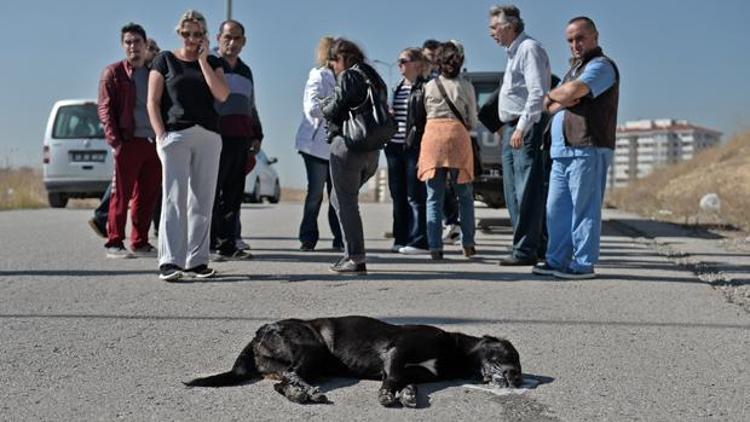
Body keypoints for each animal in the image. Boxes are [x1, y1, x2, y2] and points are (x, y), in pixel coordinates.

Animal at [184, 314, 524, 408]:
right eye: (510, 354)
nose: (519, 378)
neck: (454, 350)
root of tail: (263, 328)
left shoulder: (412, 371)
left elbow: (408, 382)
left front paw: (408, 395)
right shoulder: (397, 352)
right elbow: (392, 378)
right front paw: (389, 396)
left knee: (281, 384)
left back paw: (299, 393)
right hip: (312, 348)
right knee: (292, 375)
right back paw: (307, 391)